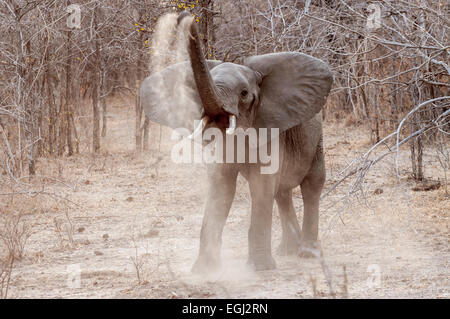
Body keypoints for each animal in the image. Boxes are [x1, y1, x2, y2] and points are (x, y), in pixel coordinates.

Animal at [141, 12, 334, 272]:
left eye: (244, 94)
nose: (184, 16)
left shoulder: (269, 127)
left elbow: (261, 185)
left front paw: (260, 268)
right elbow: (221, 186)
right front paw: (204, 270)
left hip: (317, 141)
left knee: (311, 185)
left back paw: (306, 254)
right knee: (282, 192)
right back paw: (287, 251)